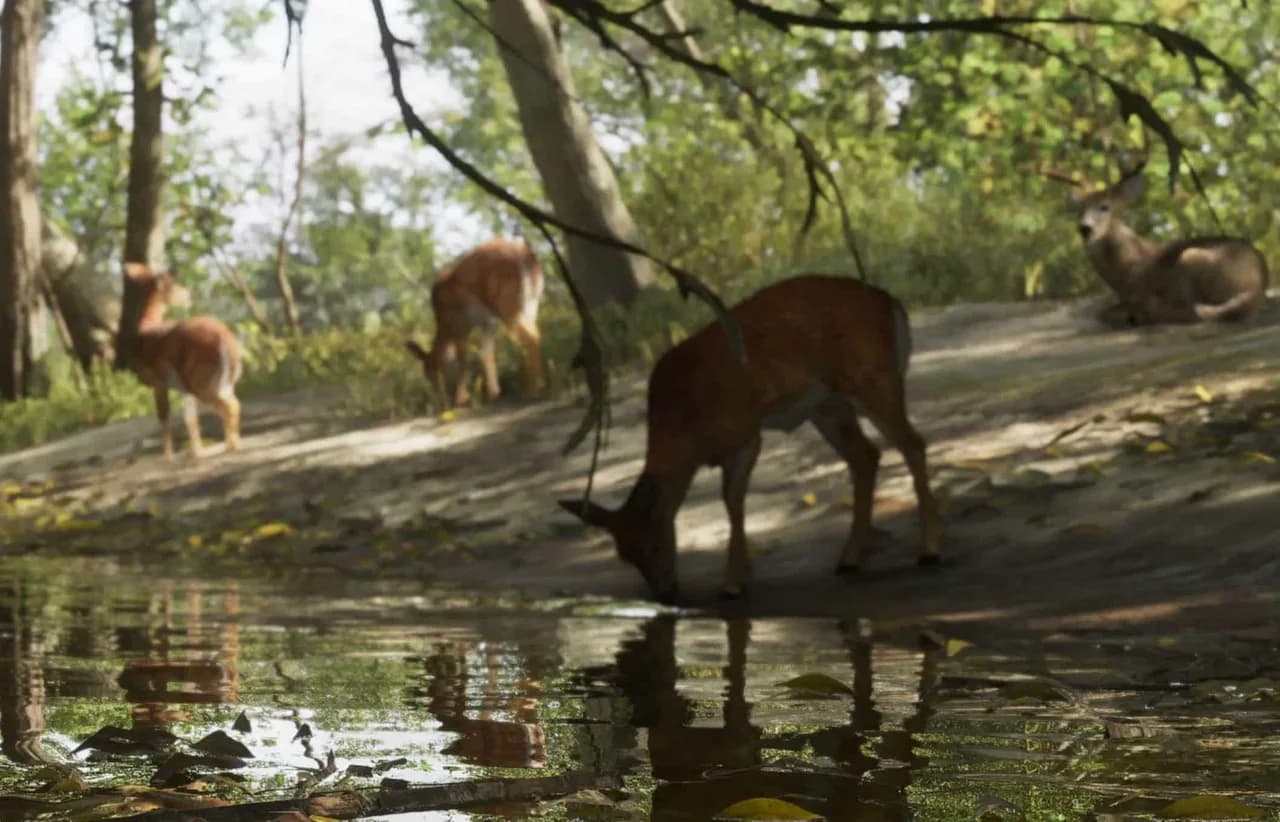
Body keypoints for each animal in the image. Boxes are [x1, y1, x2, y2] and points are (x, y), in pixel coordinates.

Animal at [124, 262, 243, 460]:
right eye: (172, 282)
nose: (188, 296)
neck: (145, 326)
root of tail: (225, 340)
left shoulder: (158, 381)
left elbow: (164, 416)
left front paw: (168, 457)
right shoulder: (179, 386)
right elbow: (190, 419)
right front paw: (194, 451)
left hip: (200, 380)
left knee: (231, 407)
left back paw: (229, 446)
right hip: (218, 381)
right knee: (232, 405)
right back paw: (227, 444)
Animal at [404, 239, 545, 408]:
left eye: (429, 372)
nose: (440, 403)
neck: (443, 323)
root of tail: (527, 258)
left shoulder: (459, 323)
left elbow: (462, 358)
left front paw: (462, 399)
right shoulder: (488, 323)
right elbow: (486, 354)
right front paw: (494, 394)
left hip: (508, 308)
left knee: (531, 339)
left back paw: (532, 392)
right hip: (530, 306)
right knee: (536, 335)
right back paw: (537, 387)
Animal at [558, 274, 941, 604]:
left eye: (653, 543)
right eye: (625, 555)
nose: (666, 595)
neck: (686, 432)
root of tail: (891, 303)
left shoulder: (744, 431)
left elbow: (731, 500)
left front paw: (731, 584)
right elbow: (733, 500)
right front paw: (742, 576)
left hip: (873, 376)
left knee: (912, 443)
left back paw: (928, 551)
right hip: (828, 405)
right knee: (866, 456)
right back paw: (849, 559)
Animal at [1047, 161, 1269, 325]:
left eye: (1105, 207)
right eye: (1079, 210)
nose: (1085, 228)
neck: (1125, 271)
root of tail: (1258, 284)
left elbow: (1105, 313)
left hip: (1191, 257)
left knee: (1194, 313)